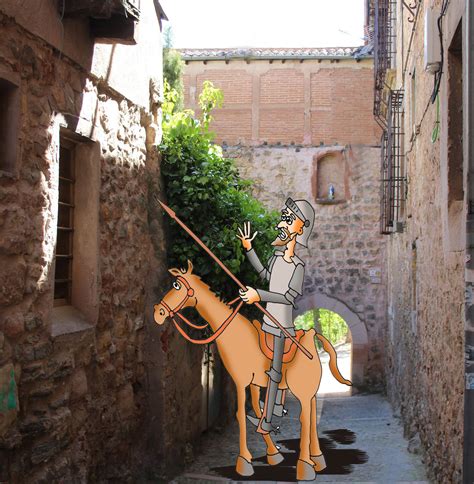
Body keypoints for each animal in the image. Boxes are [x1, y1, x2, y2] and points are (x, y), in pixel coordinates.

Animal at [154, 260, 350, 480]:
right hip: (310, 389)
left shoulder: (241, 381)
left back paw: (305, 465)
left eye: (177, 286)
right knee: (312, 413)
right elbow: (257, 410)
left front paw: (244, 462)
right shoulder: (255, 384)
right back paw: (317, 458)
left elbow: (241, 415)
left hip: (301, 389)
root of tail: (312, 335)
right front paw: (273, 454)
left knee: (305, 417)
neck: (235, 332)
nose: (158, 312)